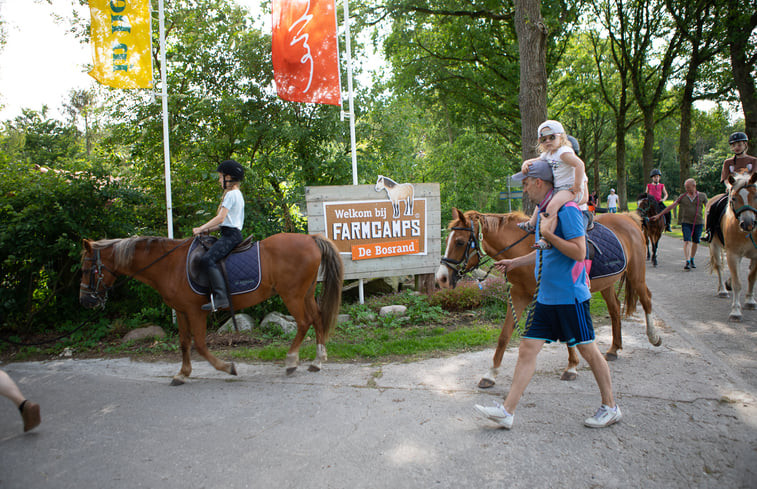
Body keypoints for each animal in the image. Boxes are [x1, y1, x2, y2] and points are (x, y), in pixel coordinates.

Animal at [79, 234, 342, 386]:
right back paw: (318, 360)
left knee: (304, 322)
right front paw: (182, 373)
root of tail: (310, 239)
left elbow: (201, 346)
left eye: (85, 269)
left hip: (292, 295)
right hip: (305, 293)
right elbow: (184, 343)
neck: (169, 265)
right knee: (317, 318)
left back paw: (291, 361)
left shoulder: (196, 311)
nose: (86, 301)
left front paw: (228, 367)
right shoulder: (182, 311)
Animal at [434, 208, 660, 386]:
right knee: (614, 309)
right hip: (607, 283)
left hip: (636, 274)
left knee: (647, 299)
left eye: (460, 242)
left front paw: (572, 367)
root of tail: (628, 218)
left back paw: (654, 336)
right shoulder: (518, 295)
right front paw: (491, 374)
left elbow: (567, 331)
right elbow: (504, 335)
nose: (441, 278)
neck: (525, 251)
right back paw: (614, 349)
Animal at [704, 172, 756, 320]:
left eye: (755, 196)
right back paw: (722, 290)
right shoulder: (733, 255)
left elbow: (751, 277)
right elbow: (737, 283)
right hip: (714, 245)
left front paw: (750, 301)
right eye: (734, 198)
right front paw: (736, 311)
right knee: (719, 267)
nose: (748, 224)